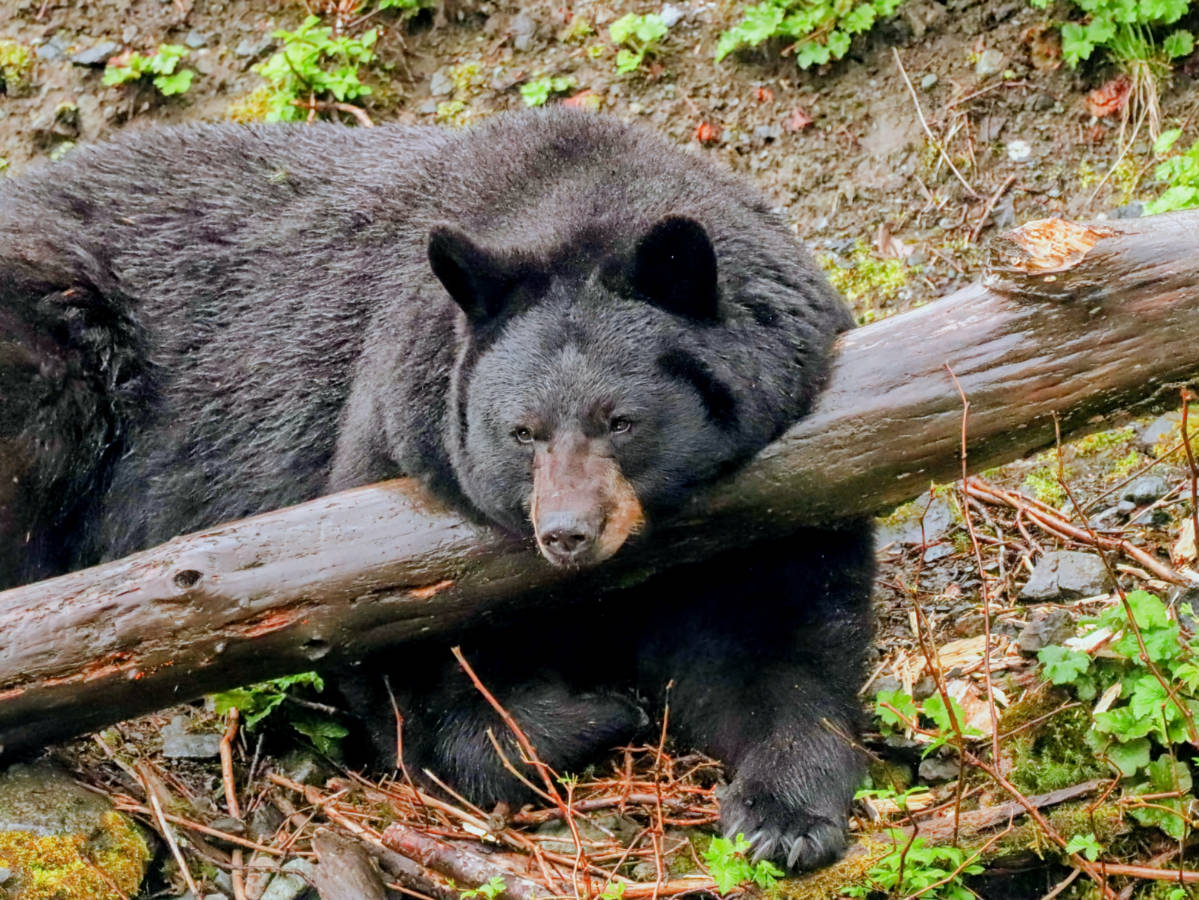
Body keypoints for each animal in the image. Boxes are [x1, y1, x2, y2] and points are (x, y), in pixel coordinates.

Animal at [0, 108, 874, 870]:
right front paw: (587, 713)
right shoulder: (390, 454)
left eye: (619, 421)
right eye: (520, 431)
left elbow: (774, 635)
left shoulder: (779, 485)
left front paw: (783, 816)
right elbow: (402, 662)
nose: (567, 532)